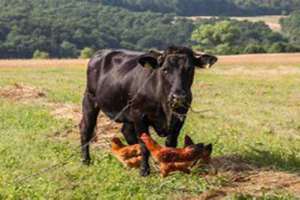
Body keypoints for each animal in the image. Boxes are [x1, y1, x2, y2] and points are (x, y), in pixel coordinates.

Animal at [78, 46, 217, 176]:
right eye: (165, 69)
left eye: (190, 69)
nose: (178, 97)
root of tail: (100, 53)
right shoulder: (139, 116)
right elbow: (144, 145)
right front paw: (144, 170)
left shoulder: (180, 116)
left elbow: (171, 143)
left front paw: (170, 168)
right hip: (90, 99)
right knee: (86, 128)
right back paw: (86, 160)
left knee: (126, 131)